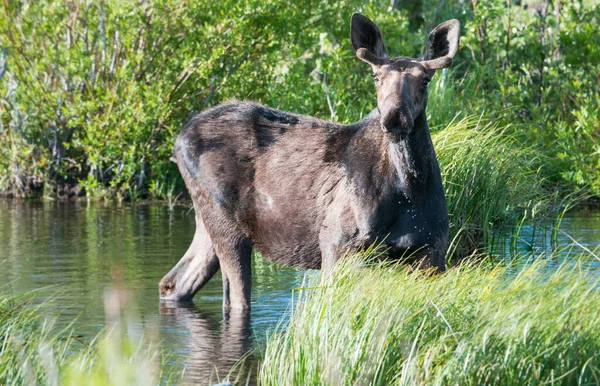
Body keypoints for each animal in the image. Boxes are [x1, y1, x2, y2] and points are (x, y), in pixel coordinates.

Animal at [159, 12, 460, 310]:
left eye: (425, 80)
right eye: (376, 77)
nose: (394, 117)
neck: (410, 187)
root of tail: (178, 139)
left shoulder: (433, 250)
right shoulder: (338, 244)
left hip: (208, 223)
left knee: (175, 281)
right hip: (226, 225)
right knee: (234, 299)